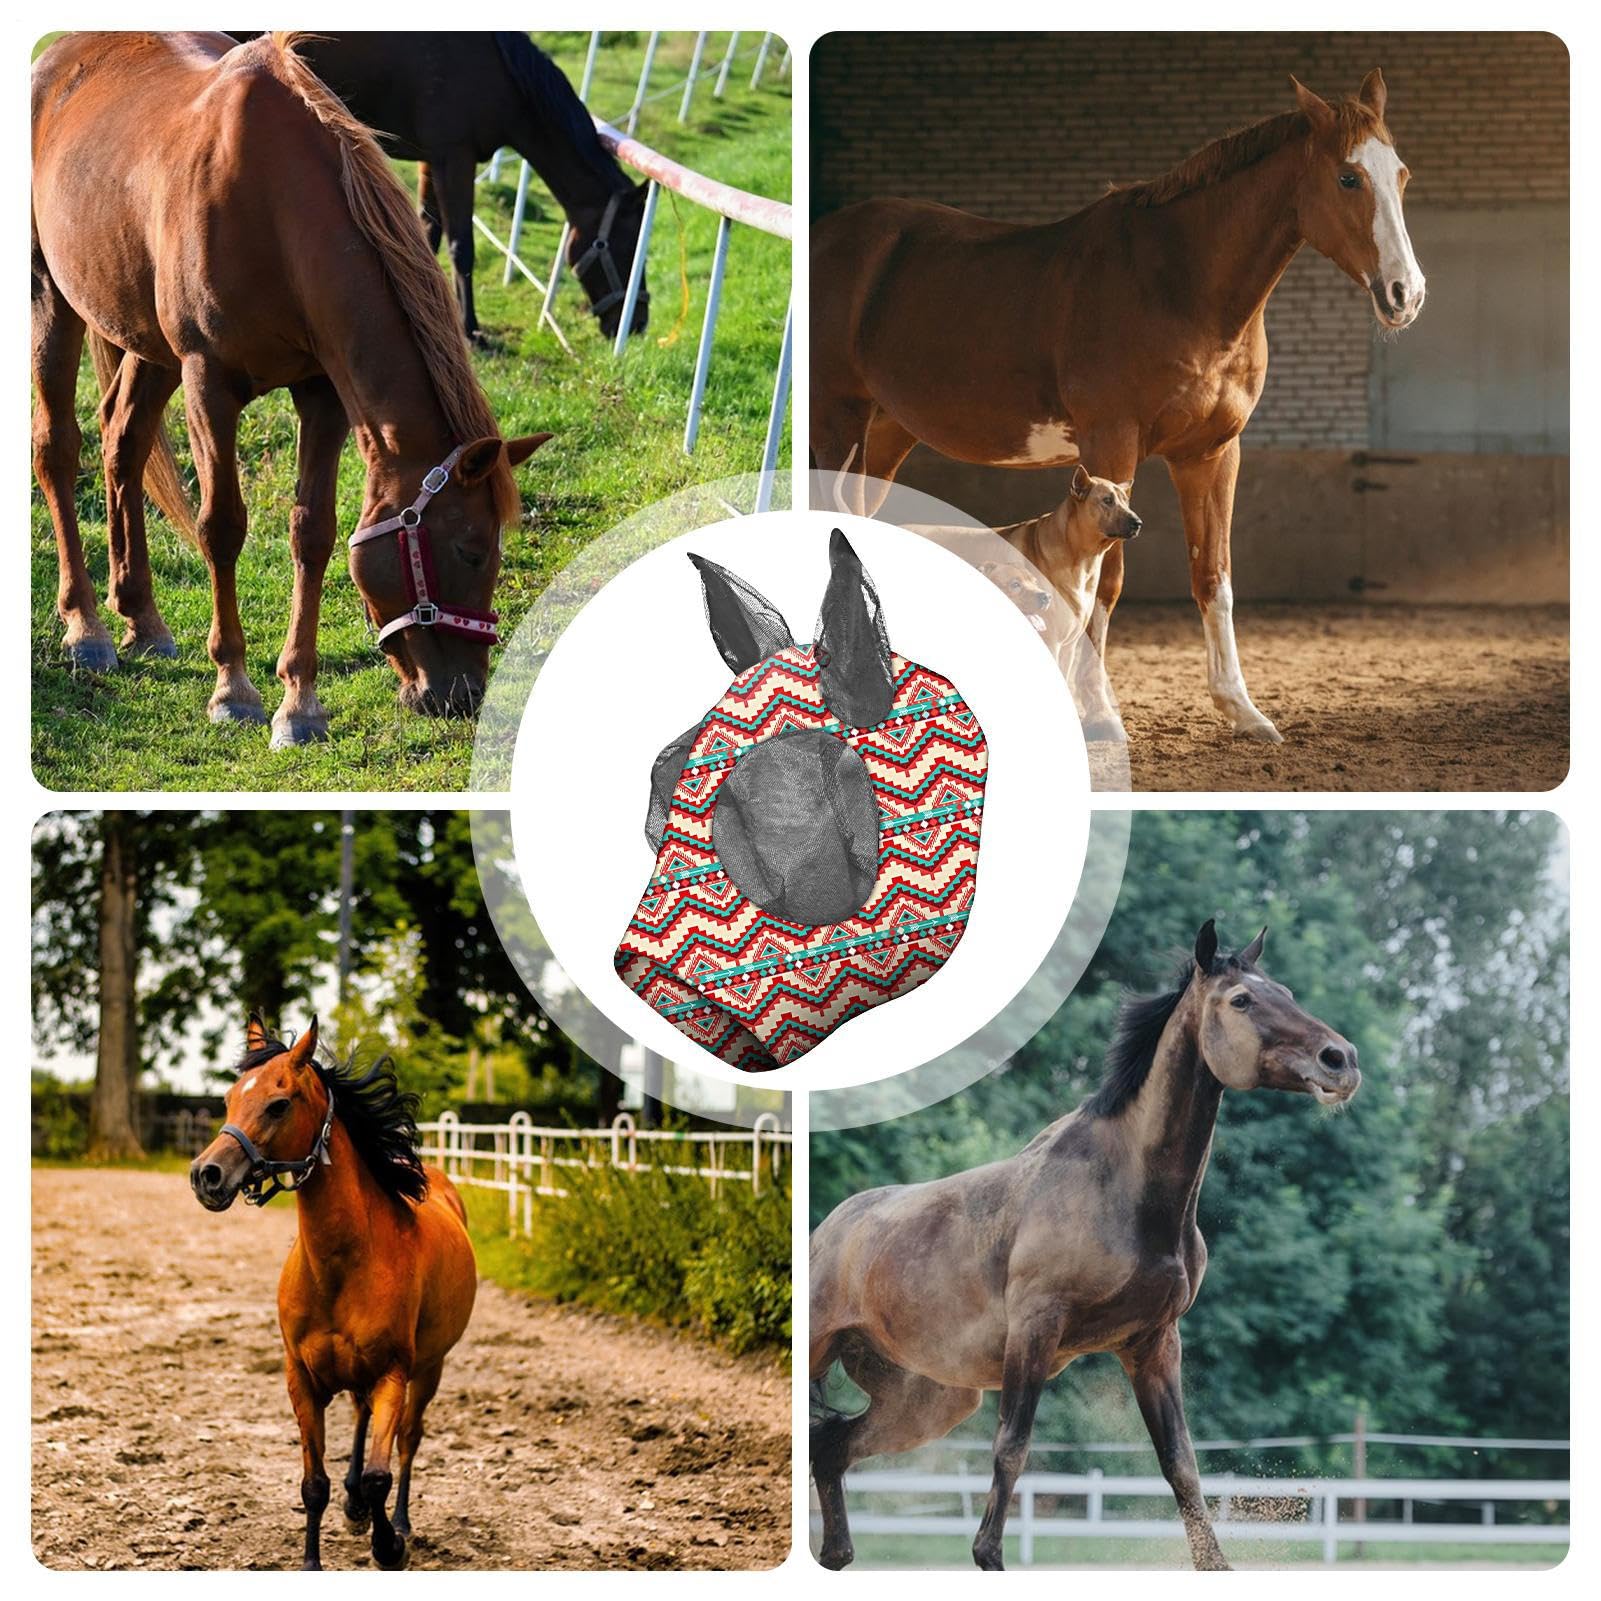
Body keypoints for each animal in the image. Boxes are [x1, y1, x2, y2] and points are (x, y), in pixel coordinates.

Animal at [31, 32, 549, 743]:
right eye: (470, 551)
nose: (464, 695)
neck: (274, 211)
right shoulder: (208, 384)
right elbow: (221, 526)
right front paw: (234, 690)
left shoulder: (323, 393)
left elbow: (314, 532)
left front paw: (299, 703)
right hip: (54, 300)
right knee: (58, 448)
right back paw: (87, 627)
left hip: (146, 343)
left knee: (122, 447)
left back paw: (142, 617)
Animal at [189, 1017, 477, 1571]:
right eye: (229, 1098)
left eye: (278, 1104)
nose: (206, 1175)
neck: (342, 1267)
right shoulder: (301, 1379)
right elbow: (314, 1484)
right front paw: (314, 1557)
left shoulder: (393, 1376)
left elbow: (382, 1474)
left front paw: (390, 1546)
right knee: (361, 1421)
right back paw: (354, 1505)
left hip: (428, 1370)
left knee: (408, 1441)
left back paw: (398, 1522)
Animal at [264, 32, 651, 343]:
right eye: (627, 248)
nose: (637, 324)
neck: (497, 70)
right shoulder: (455, 159)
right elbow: (461, 246)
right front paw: (470, 329)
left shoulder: (432, 160)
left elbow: (427, 233)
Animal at [809, 920, 1361, 1571]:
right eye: (1242, 1000)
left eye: (1288, 992)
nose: (1341, 1060)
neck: (1124, 1186)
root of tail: (828, 1231)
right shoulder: (1035, 1330)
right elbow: (1011, 1449)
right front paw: (988, 1555)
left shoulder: (1153, 1344)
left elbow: (1182, 1466)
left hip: (929, 1400)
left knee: (830, 1447)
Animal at [811, 71, 1426, 744]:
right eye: (1348, 177)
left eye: (1400, 175)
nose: (1406, 294)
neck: (1180, 285)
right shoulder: (1112, 444)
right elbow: (1107, 584)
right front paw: (1100, 714)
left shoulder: (1211, 454)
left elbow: (1214, 576)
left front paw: (1242, 709)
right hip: (836, 421)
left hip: (886, 432)